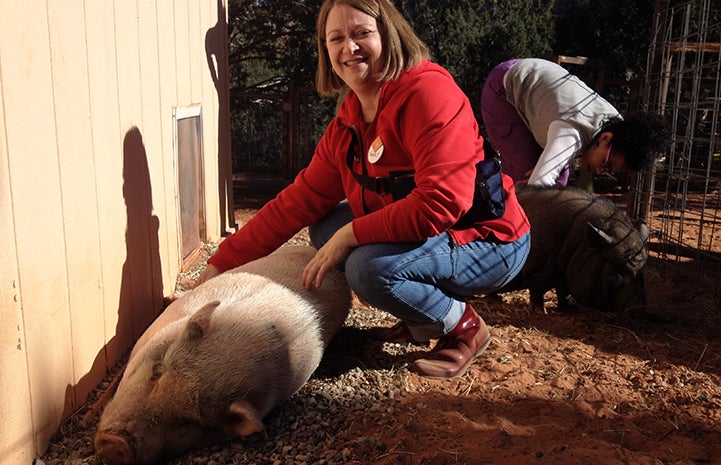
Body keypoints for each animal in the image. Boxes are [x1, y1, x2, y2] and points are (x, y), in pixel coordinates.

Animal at [500, 185, 648, 312]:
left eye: (641, 271)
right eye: (618, 268)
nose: (639, 307)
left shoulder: (564, 276)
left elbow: (564, 292)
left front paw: (571, 308)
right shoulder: (537, 270)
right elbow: (538, 290)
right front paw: (540, 311)